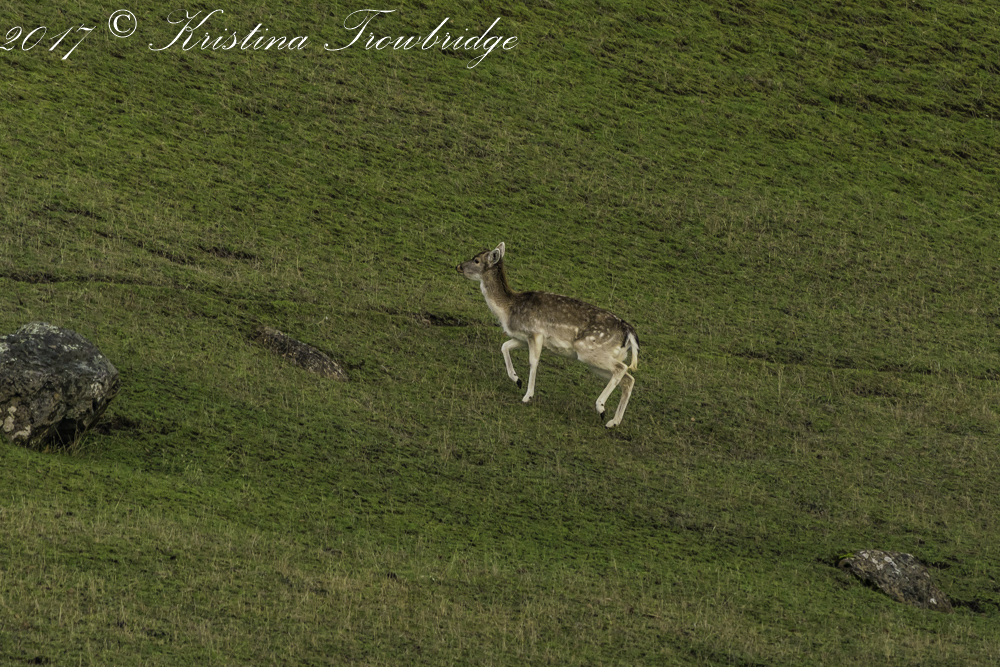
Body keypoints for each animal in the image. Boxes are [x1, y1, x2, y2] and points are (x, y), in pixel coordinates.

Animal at [457, 242, 639, 428]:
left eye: (476, 260)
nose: (458, 266)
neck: (508, 310)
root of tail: (629, 332)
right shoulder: (522, 337)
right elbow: (504, 346)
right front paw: (517, 379)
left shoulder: (535, 332)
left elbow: (533, 362)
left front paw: (527, 395)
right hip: (600, 361)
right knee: (628, 379)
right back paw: (613, 422)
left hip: (589, 350)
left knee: (622, 369)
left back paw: (601, 408)